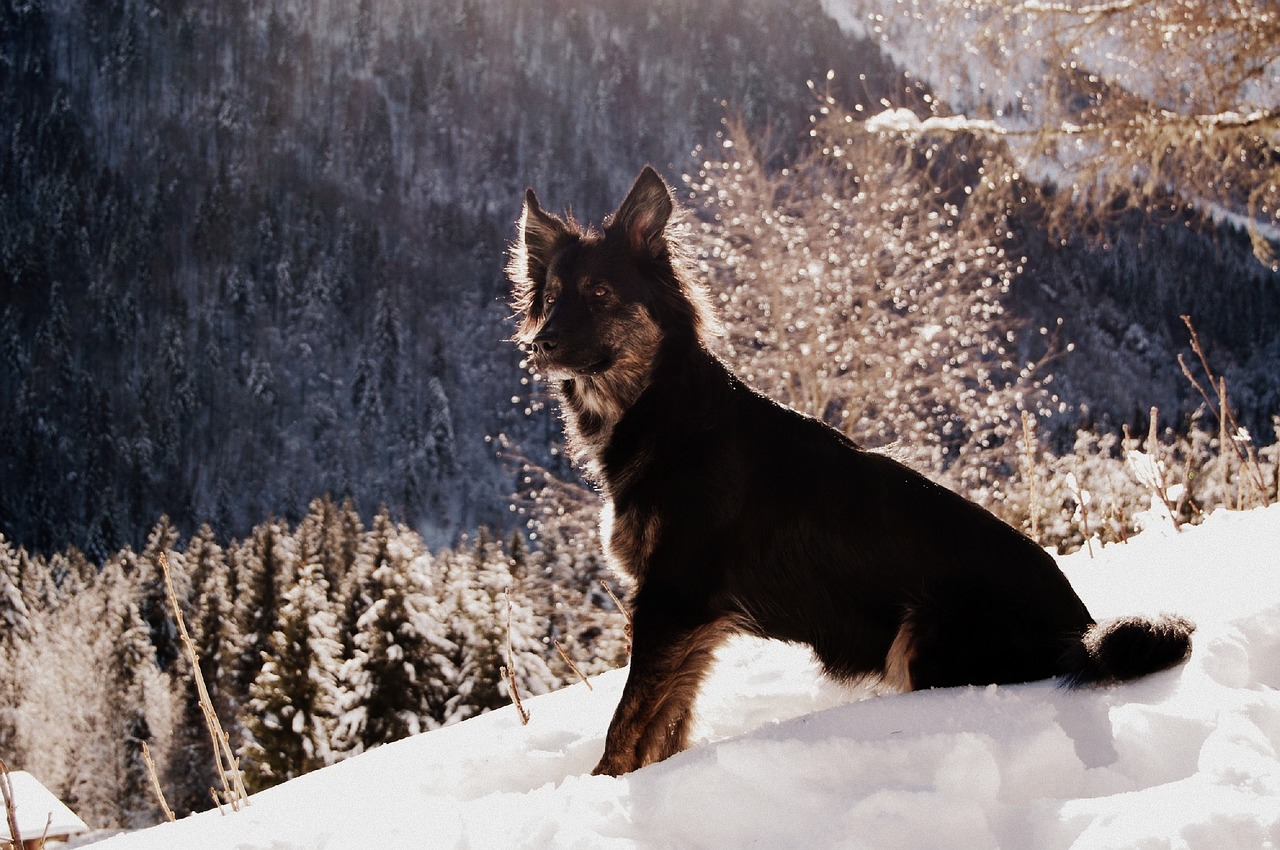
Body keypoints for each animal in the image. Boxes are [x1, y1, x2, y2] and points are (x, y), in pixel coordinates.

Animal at [504, 166, 1192, 778]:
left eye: (599, 295)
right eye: (552, 297)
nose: (539, 343)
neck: (663, 412)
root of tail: (1081, 629)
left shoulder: (671, 602)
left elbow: (626, 726)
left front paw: (598, 792)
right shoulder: (692, 625)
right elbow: (665, 725)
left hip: (922, 635)